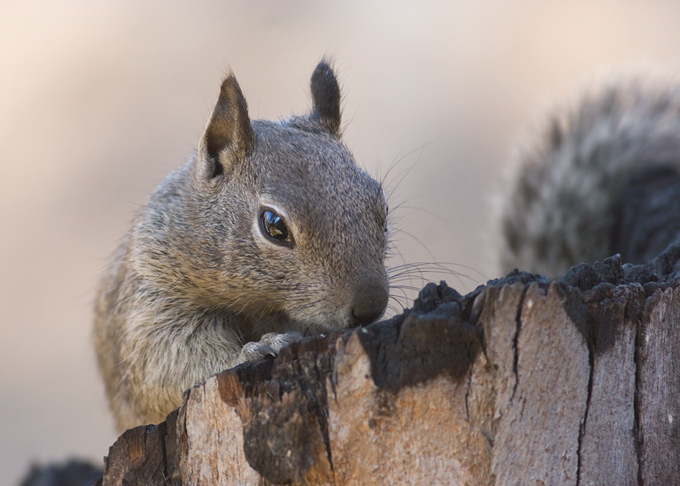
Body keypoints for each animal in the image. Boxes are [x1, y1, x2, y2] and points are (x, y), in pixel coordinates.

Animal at [91, 61, 388, 432]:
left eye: (380, 203)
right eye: (273, 225)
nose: (371, 307)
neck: (260, 303)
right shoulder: (152, 299)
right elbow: (168, 365)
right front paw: (254, 350)